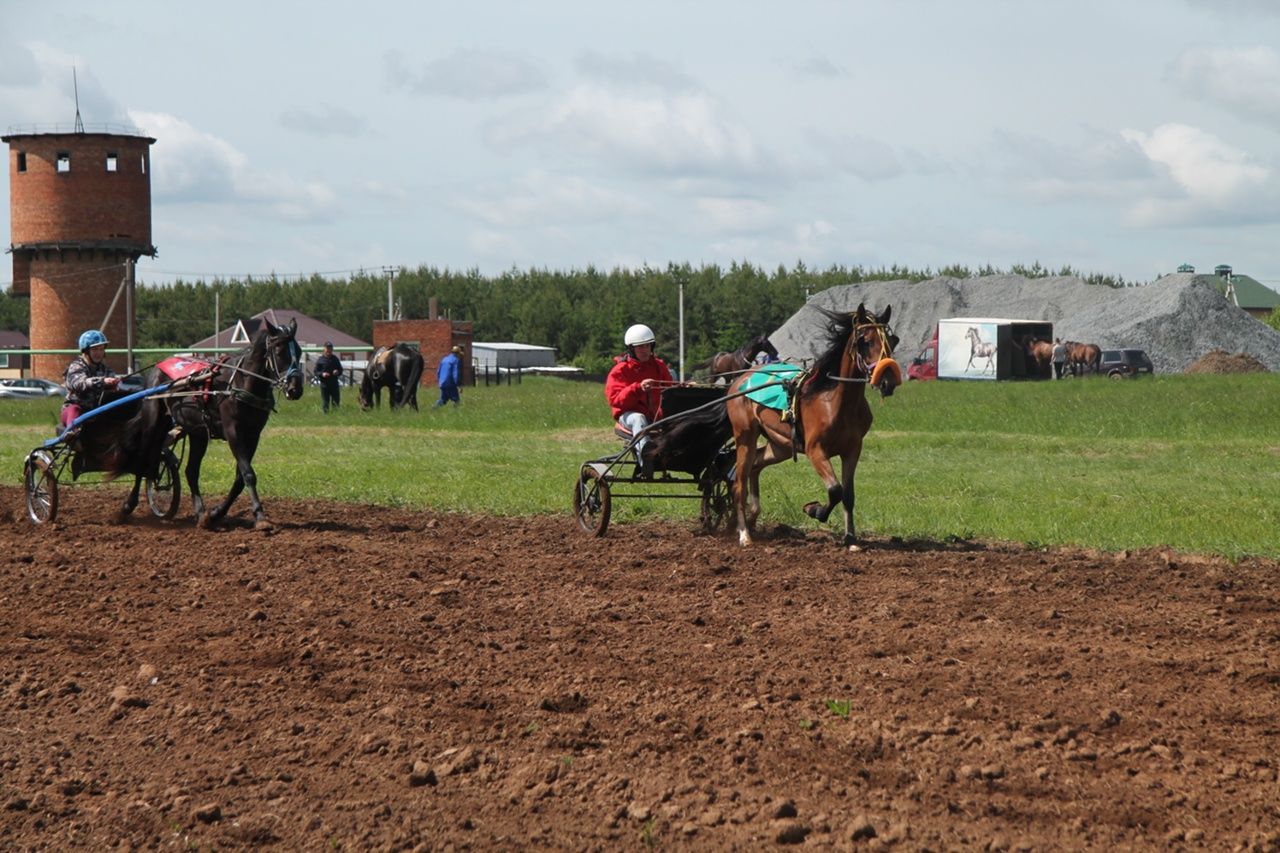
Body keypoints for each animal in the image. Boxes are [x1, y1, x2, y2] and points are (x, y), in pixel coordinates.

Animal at [115, 318, 304, 527]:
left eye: (299, 352)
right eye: (279, 350)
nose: (295, 388)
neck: (240, 384)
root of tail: (157, 369)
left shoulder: (253, 434)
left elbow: (240, 478)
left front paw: (215, 514)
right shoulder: (233, 431)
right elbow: (248, 474)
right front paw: (261, 517)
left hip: (197, 432)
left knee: (191, 471)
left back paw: (200, 512)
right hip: (153, 422)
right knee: (143, 459)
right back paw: (127, 507)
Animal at [732, 302, 901, 548]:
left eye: (891, 341)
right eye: (865, 341)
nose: (888, 381)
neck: (835, 402)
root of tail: (739, 380)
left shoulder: (852, 449)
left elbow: (848, 495)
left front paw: (851, 538)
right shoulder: (815, 450)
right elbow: (835, 490)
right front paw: (815, 510)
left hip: (781, 445)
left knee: (756, 465)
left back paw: (753, 517)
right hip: (745, 437)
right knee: (739, 482)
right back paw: (744, 534)